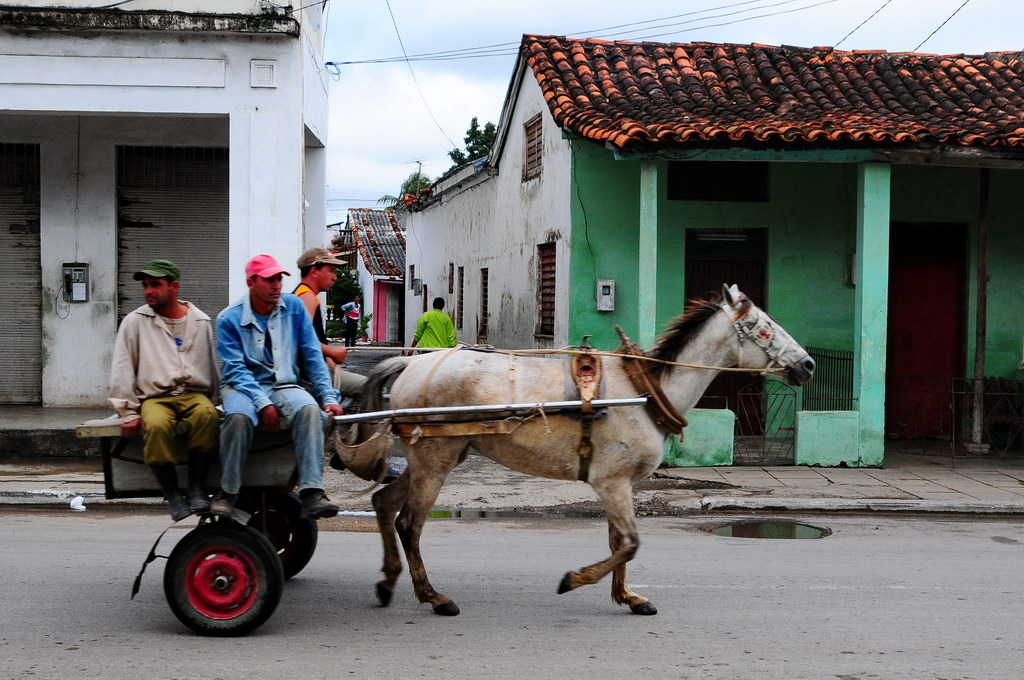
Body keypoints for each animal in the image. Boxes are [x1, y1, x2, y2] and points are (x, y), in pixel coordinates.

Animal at [360, 284, 815, 618]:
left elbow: (618, 542)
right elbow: (630, 542)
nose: (808, 365)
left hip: (435, 458)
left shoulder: (617, 483)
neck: (645, 392)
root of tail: (412, 364)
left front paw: (629, 597)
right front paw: (574, 580)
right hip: (434, 460)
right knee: (410, 524)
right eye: (763, 327)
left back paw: (387, 582)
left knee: (384, 504)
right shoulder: (612, 482)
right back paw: (433, 597)